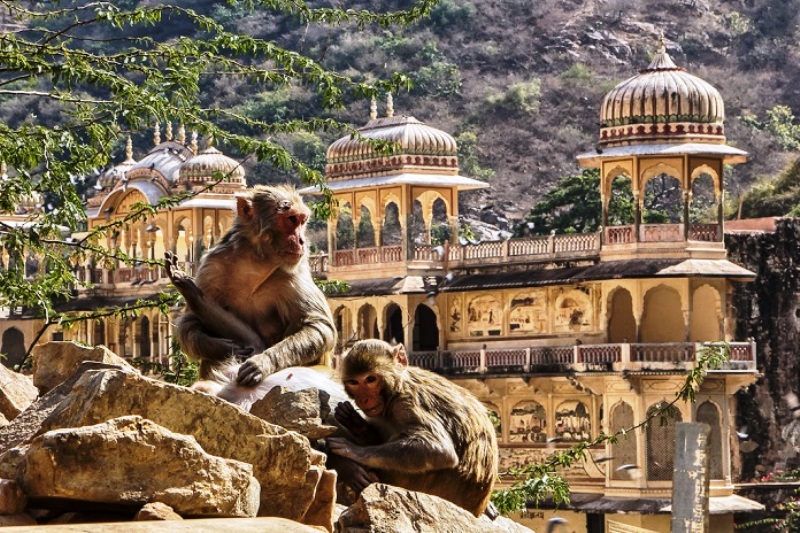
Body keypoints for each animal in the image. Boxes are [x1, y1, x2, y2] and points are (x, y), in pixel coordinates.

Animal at [166, 184, 336, 387]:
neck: (255, 262)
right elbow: (190, 322)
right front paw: (225, 348)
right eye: (292, 219)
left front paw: (263, 362)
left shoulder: (294, 271)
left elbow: (318, 325)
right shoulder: (212, 265)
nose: (302, 241)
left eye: (302, 221)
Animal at [326, 339, 498, 517]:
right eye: (354, 382)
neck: (396, 387)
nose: (364, 399)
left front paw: (352, 451)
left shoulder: (406, 403)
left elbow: (439, 450)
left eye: (371, 379)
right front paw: (357, 425)